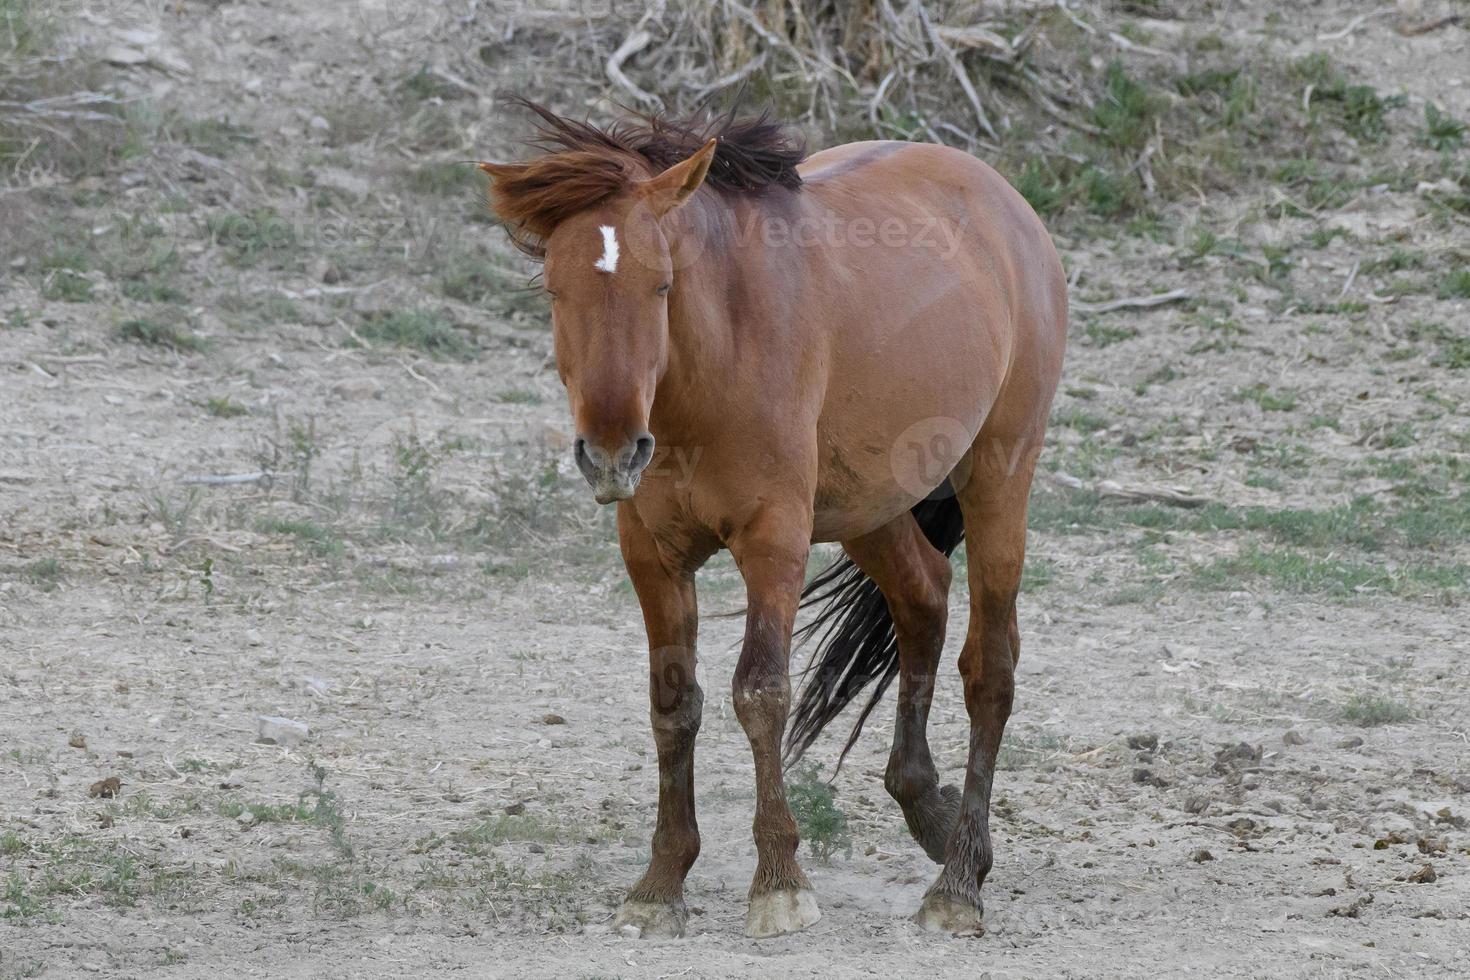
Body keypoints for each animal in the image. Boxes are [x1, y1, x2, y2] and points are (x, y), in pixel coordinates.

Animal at [482, 103, 1070, 940]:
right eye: (556, 292)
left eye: (662, 285)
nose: (613, 451)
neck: (714, 358)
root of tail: (1006, 202)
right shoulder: (651, 556)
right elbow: (673, 703)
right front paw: (661, 883)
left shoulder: (773, 542)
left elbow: (759, 694)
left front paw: (779, 882)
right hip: (870, 505)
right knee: (924, 595)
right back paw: (930, 809)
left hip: (998, 477)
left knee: (990, 667)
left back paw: (957, 882)